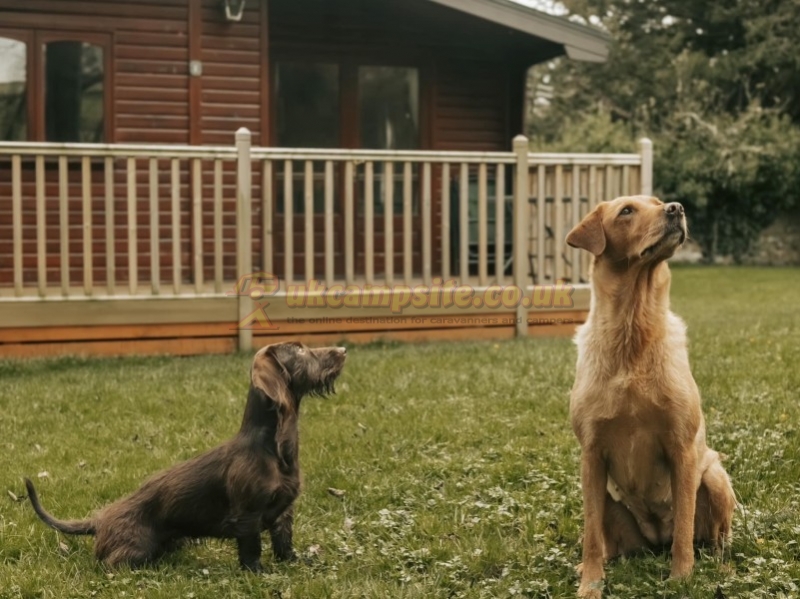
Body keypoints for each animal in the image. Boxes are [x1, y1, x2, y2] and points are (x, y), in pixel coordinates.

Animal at [26, 342, 346, 572]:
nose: (343, 350)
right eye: (299, 349)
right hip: (136, 550)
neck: (275, 449)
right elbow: (251, 549)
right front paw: (259, 573)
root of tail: (100, 519)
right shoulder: (248, 515)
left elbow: (284, 543)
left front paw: (297, 562)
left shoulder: (284, 511)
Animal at [564, 197, 736, 599]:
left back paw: (722, 566)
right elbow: (591, 536)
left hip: (714, 477)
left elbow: (685, 530)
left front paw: (681, 579)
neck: (632, 328)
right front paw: (590, 584)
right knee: (608, 543)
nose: (676, 208)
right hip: (607, 499)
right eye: (626, 211)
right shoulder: (591, 455)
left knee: (716, 539)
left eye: (657, 203)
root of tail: (655, 536)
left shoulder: (682, 449)